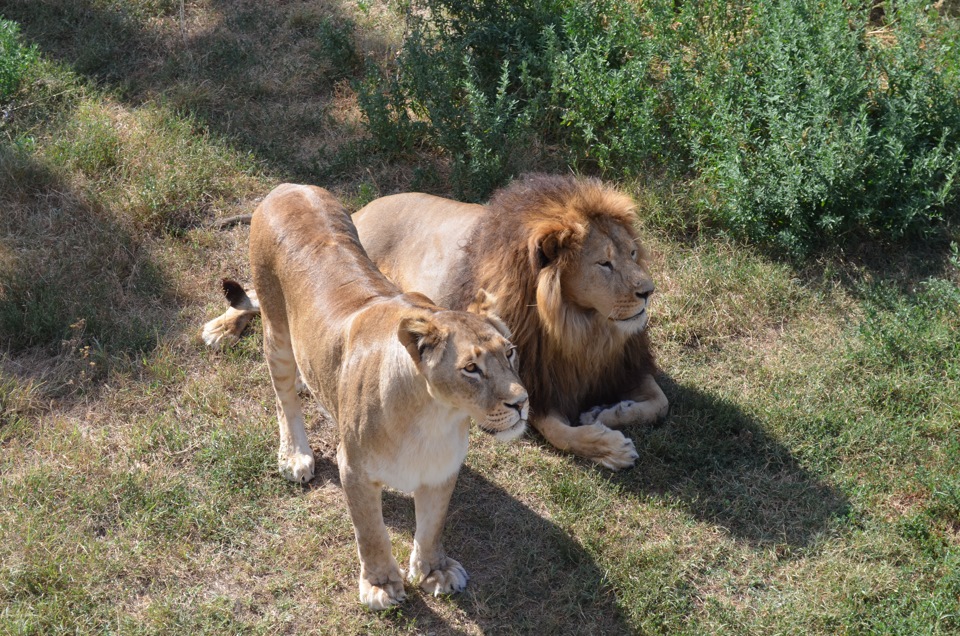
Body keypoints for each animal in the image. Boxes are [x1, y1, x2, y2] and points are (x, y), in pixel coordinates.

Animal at [202, 174, 668, 472]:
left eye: (632, 254)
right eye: (604, 264)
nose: (648, 291)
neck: (585, 328)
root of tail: (362, 206)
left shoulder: (620, 365)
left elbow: (658, 404)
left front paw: (608, 411)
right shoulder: (535, 380)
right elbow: (559, 430)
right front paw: (609, 447)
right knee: (260, 298)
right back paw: (222, 328)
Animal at [238, 181, 524, 608]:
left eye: (510, 353)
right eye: (471, 369)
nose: (522, 402)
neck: (434, 417)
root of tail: (289, 186)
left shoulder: (441, 470)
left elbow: (432, 525)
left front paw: (434, 570)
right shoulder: (354, 470)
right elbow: (370, 532)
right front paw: (380, 585)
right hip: (276, 330)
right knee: (283, 395)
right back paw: (295, 455)